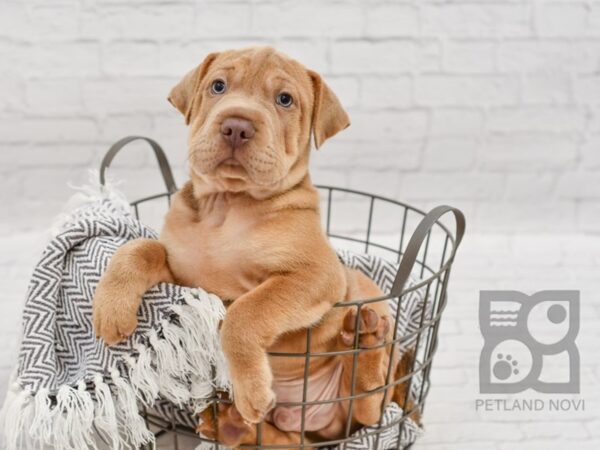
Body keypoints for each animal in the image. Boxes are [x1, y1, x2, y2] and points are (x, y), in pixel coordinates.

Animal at [94, 47, 414, 448]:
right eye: (218, 86)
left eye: (285, 99)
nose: (237, 125)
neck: (228, 205)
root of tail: (318, 423)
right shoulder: (183, 273)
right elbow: (139, 249)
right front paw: (111, 309)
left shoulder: (315, 275)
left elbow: (245, 313)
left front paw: (252, 389)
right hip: (291, 430)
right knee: (282, 437)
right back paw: (232, 424)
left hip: (368, 322)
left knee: (371, 405)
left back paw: (368, 340)